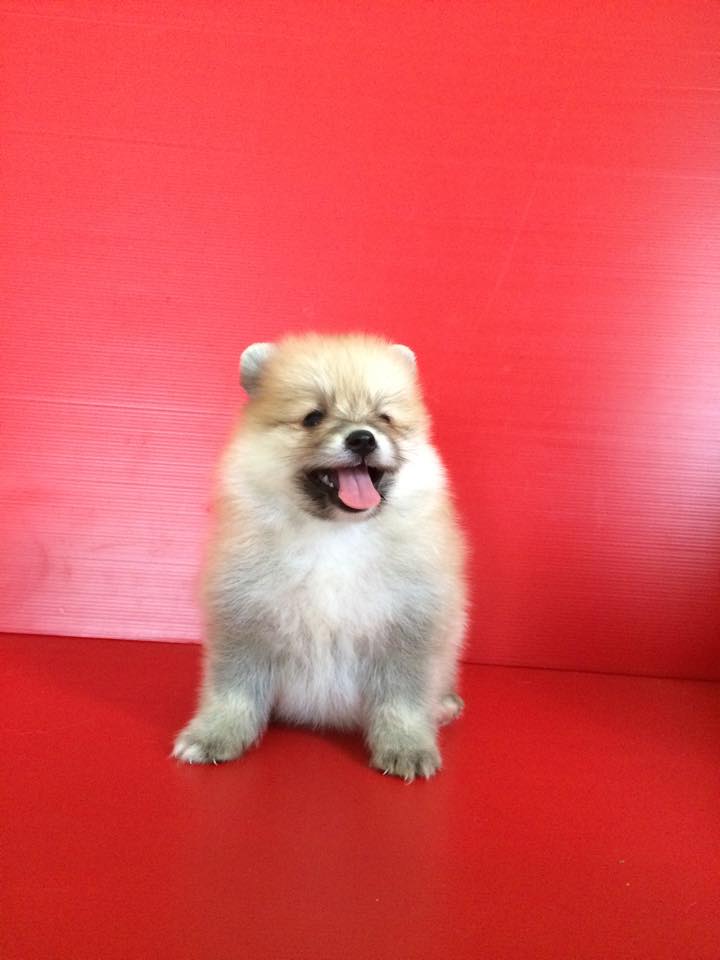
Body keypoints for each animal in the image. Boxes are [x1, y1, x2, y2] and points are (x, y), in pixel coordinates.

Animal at [173, 333, 467, 780]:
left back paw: (445, 704)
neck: (336, 535)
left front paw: (406, 746)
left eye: (384, 418)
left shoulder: (408, 627)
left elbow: (402, 697)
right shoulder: (244, 618)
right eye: (313, 417)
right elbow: (233, 690)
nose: (362, 438)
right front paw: (214, 735)